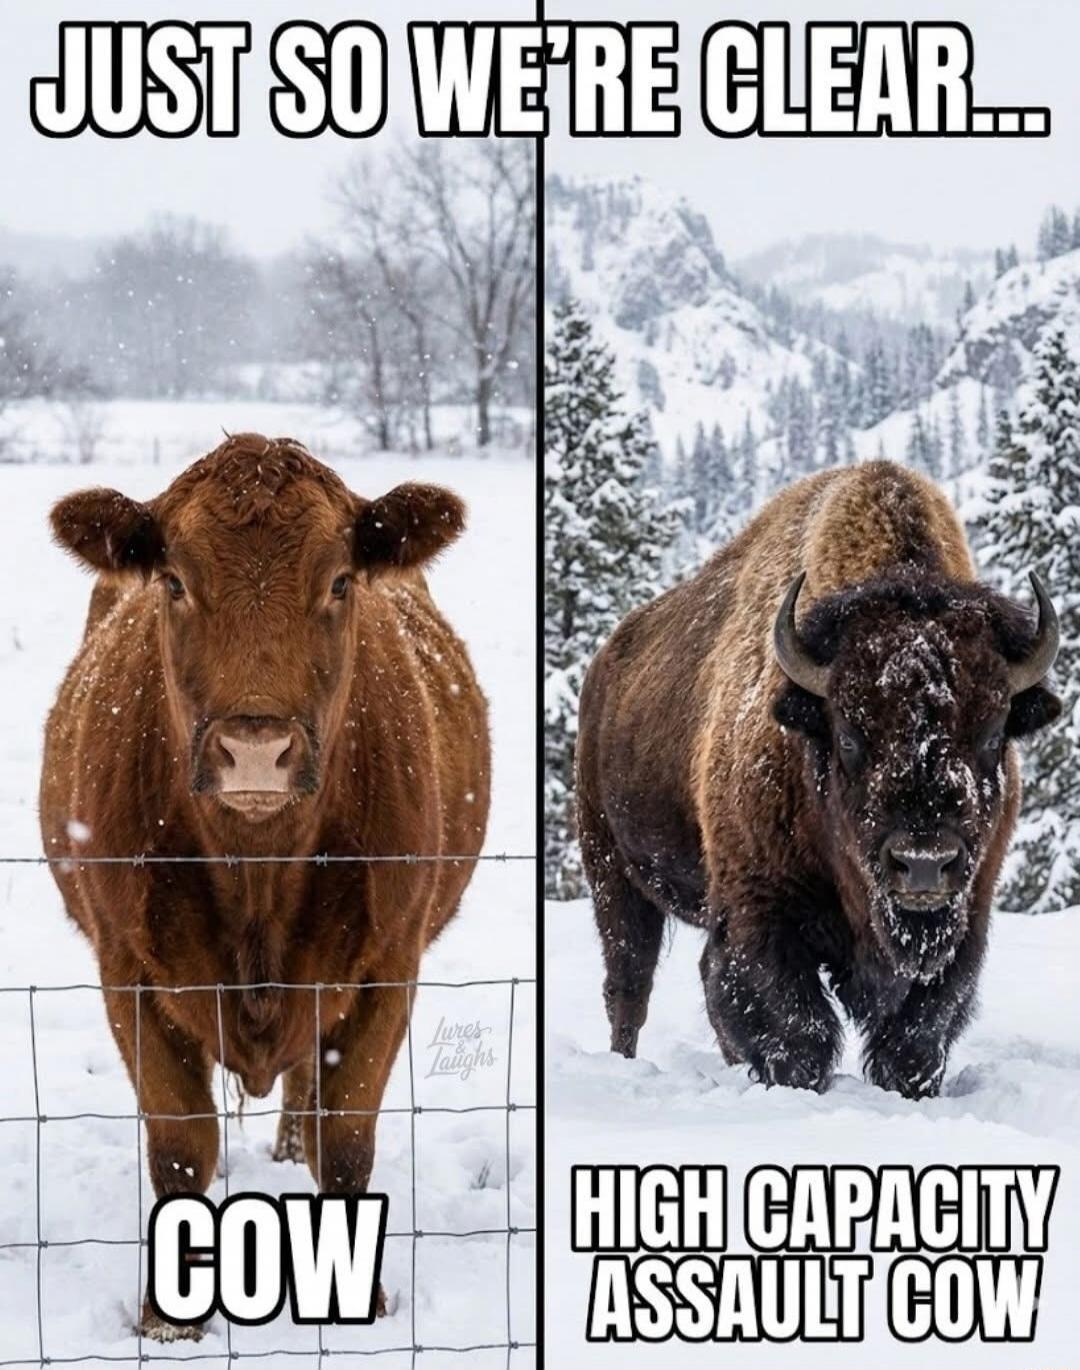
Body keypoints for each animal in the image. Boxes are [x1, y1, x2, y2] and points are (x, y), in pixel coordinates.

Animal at [39, 433, 490, 1338]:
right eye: (175, 580)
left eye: (341, 579)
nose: (256, 749)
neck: (256, 877)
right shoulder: (127, 969)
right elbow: (181, 1144)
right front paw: (168, 1319)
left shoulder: (389, 964)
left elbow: (345, 1135)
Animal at [576, 460, 1059, 1101]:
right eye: (849, 735)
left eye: (991, 733)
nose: (923, 864)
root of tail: (605, 665)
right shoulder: (761, 914)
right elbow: (793, 1026)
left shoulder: (968, 919)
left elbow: (917, 1034)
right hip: (612, 869)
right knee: (629, 983)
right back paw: (624, 1062)